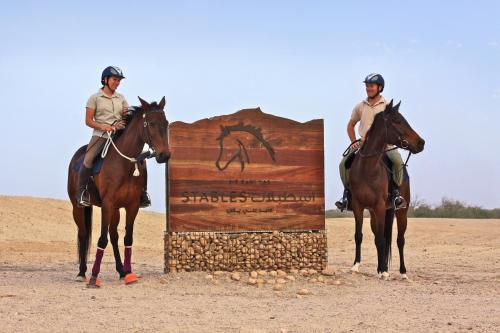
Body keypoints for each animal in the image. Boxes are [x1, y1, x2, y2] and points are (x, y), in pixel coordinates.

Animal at [66, 95, 170, 286]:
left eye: (165, 123)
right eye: (151, 123)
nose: (164, 155)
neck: (123, 165)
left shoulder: (132, 206)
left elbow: (127, 238)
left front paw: (128, 273)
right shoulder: (107, 205)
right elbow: (101, 239)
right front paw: (94, 277)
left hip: (115, 210)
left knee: (114, 236)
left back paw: (121, 271)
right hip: (78, 207)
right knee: (83, 234)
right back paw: (82, 273)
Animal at [348, 100, 426, 278]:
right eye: (397, 120)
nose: (421, 143)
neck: (368, 168)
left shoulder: (380, 207)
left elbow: (382, 240)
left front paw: (384, 270)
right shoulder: (358, 207)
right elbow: (359, 236)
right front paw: (356, 265)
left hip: (401, 211)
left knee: (399, 240)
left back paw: (402, 272)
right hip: (375, 214)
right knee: (380, 236)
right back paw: (380, 267)